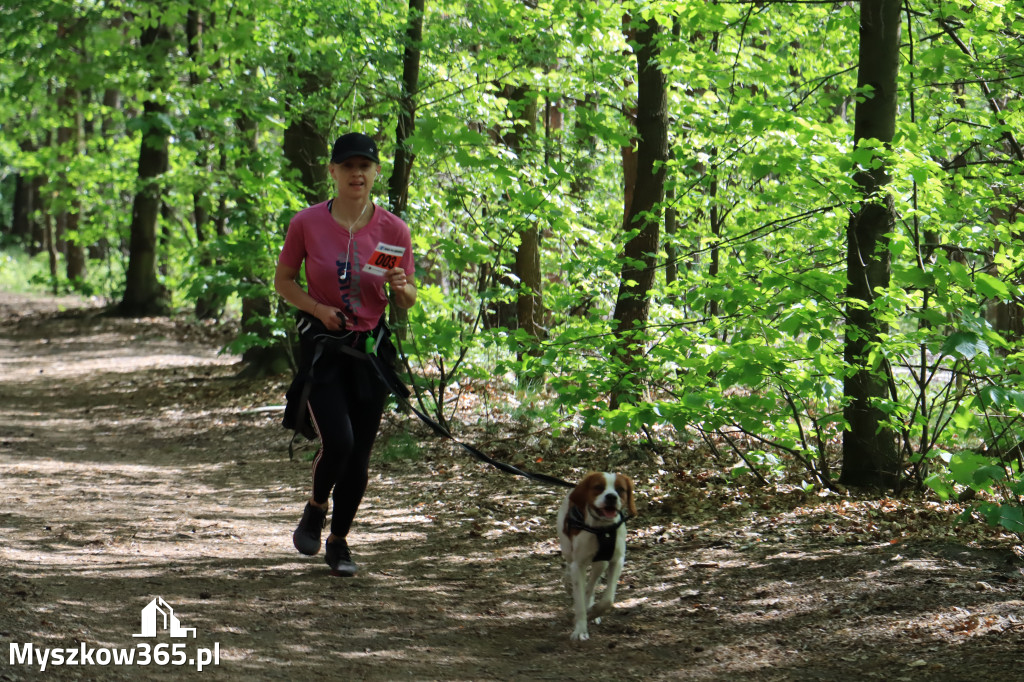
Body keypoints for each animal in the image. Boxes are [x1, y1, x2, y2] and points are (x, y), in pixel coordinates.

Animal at [557, 471, 634, 638]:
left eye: (620, 489)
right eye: (598, 487)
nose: (611, 497)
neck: (603, 529)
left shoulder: (616, 561)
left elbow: (607, 600)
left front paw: (593, 613)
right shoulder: (578, 565)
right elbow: (579, 601)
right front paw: (580, 629)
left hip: (601, 563)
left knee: (591, 586)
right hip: (567, 548)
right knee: (569, 568)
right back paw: (568, 583)